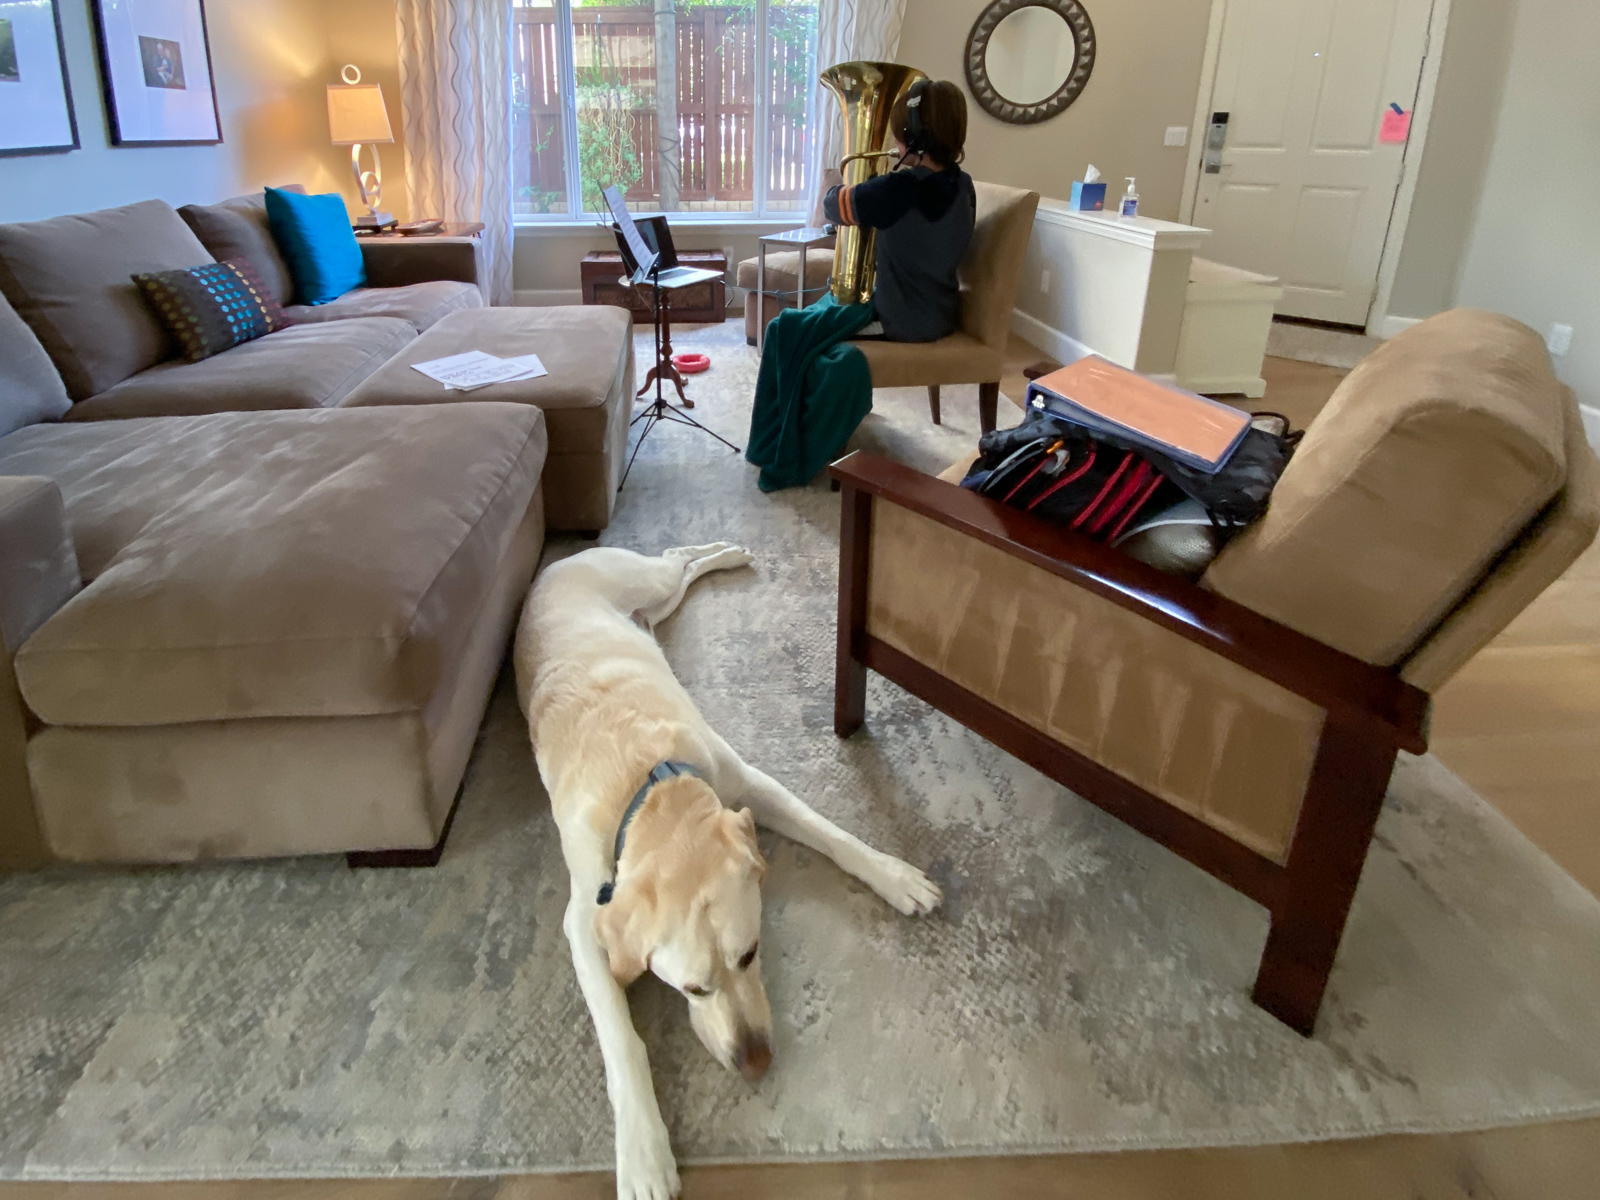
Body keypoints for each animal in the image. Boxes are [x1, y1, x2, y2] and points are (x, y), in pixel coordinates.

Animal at [514, 543, 942, 1200]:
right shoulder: (584, 922)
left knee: (678, 559)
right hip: (651, 602)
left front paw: (894, 876)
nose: (757, 1064)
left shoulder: (747, 784)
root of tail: (554, 565)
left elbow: (833, 833)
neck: (650, 790)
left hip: (651, 588)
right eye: (693, 988)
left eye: (750, 953)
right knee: (675, 568)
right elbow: (621, 1039)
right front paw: (643, 1153)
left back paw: (727, 553)